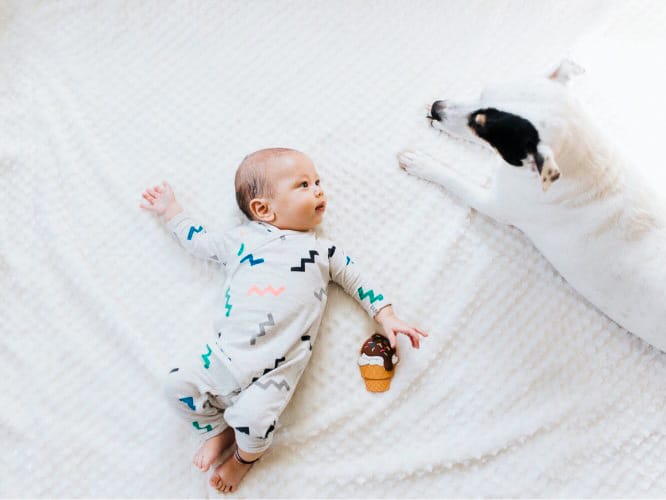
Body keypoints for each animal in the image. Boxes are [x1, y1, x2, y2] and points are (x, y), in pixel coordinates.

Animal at [400, 60, 664, 352]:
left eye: (483, 130)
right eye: (481, 94)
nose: (437, 108)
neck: (583, 155)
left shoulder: (495, 205)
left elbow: (454, 179)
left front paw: (422, 163)